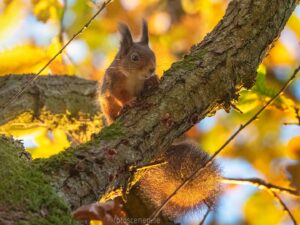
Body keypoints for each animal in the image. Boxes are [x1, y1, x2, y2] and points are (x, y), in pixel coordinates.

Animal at [99, 20, 220, 221]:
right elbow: (120, 96)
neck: (133, 77)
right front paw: (129, 103)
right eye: (134, 57)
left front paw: (154, 80)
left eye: (153, 55)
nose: (151, 70)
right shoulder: (113, 83)